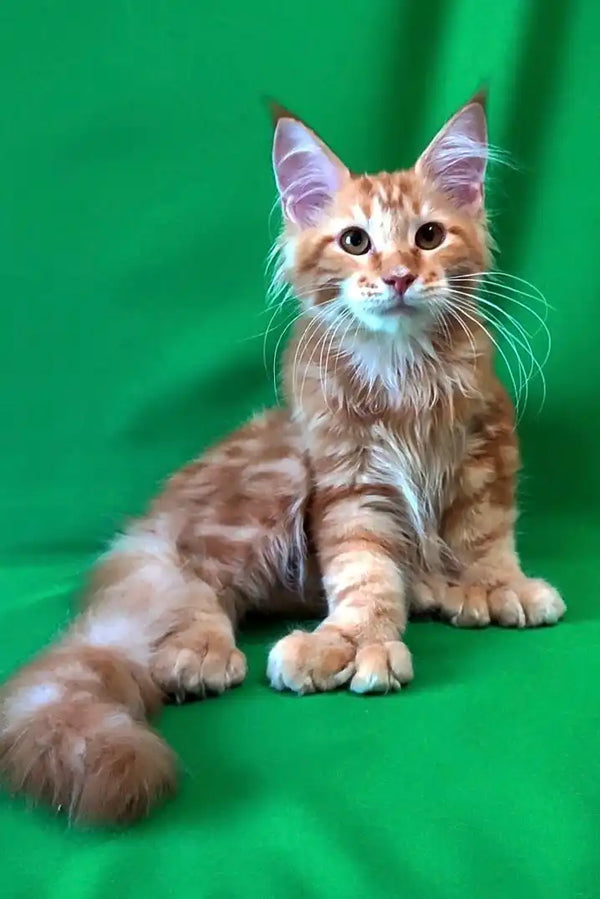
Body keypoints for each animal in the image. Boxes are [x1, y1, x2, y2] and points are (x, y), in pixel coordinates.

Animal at [0, 95, 564, 828]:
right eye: (355, 242)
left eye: (430, 235)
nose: (400, 276)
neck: (404, 371)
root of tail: (147, 523)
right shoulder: (348, 478)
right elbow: (364, 574)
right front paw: (355, 641)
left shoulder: (484, 444)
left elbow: (483, 532)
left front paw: (496, 585)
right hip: (273, 479)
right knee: (200, 585)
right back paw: (200, 650)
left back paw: (436, 587)